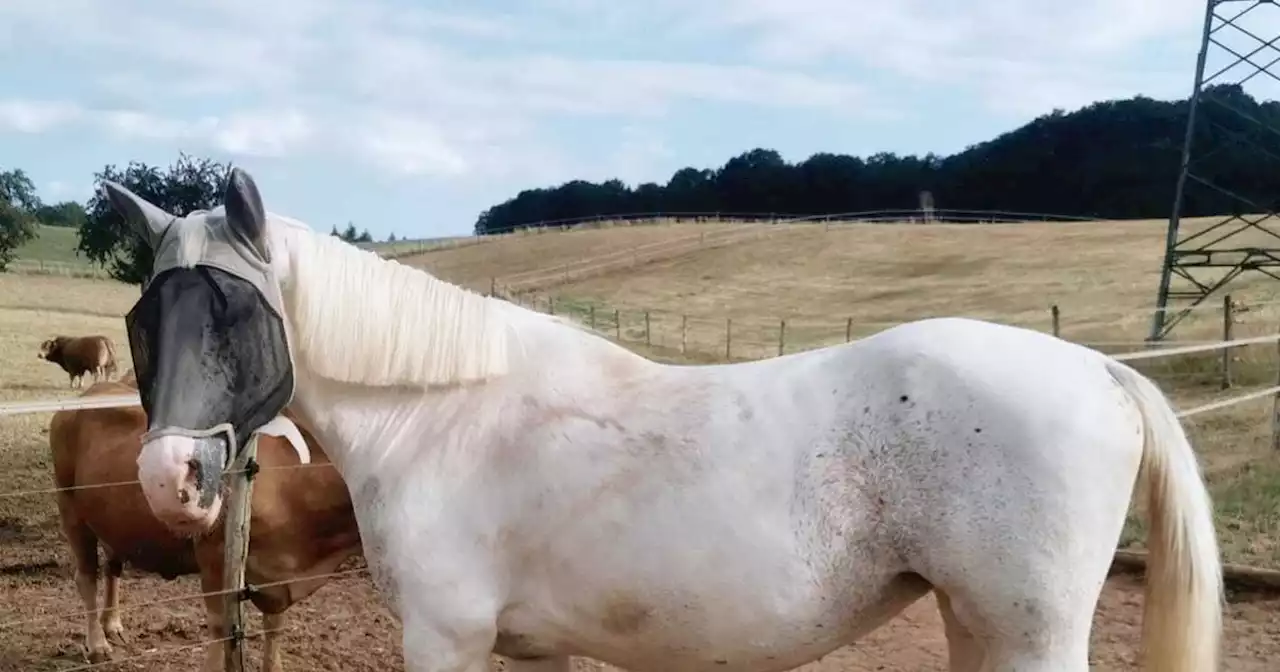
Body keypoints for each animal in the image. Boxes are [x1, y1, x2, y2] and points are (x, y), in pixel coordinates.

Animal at [49, 368, 360, 665]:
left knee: (112, 566)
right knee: (87, 576)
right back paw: (97, 644)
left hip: (113, 519)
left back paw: (112, 623)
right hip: (70, 508)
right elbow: (221, 628)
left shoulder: (279, 577)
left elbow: (274, 628)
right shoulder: (214, 553)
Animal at [104, 168, 1223, 670]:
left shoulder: (445, 639)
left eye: (237, 312)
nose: (169, 481)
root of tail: (1099, 371)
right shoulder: (532, 646)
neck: (446, 420)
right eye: (143, 316)